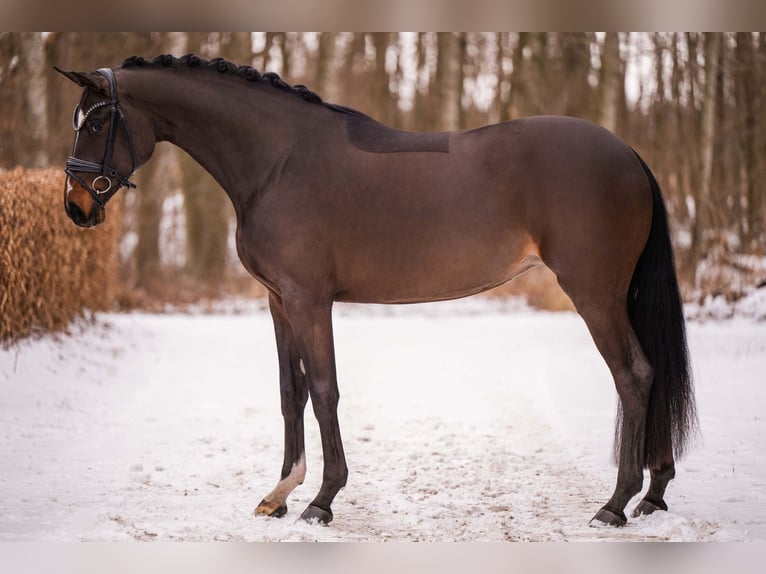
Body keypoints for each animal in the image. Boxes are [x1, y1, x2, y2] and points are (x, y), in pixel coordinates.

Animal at [55, 54, 696, 528]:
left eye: (96, 122)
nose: (76, 206)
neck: (278, 162)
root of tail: (627, 153)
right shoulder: (278, 301)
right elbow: (290, 394)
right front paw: (279, 494)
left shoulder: (309, 299)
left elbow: (324, 391)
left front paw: (321, 501)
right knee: (653, 370)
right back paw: (654, 494)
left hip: (595, 293)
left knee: (634, 375)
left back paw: (615, 504)